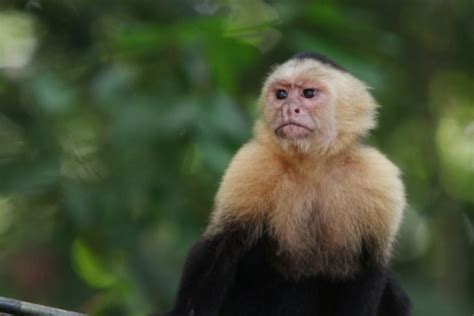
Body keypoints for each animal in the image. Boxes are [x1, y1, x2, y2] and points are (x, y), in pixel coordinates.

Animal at [161, 52, 410, 316]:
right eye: (281, 94)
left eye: (308, 93)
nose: (289, 108)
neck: (312, 164)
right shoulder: (254, 164)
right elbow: (220, 245)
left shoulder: (379, 178)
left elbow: (370, 268)